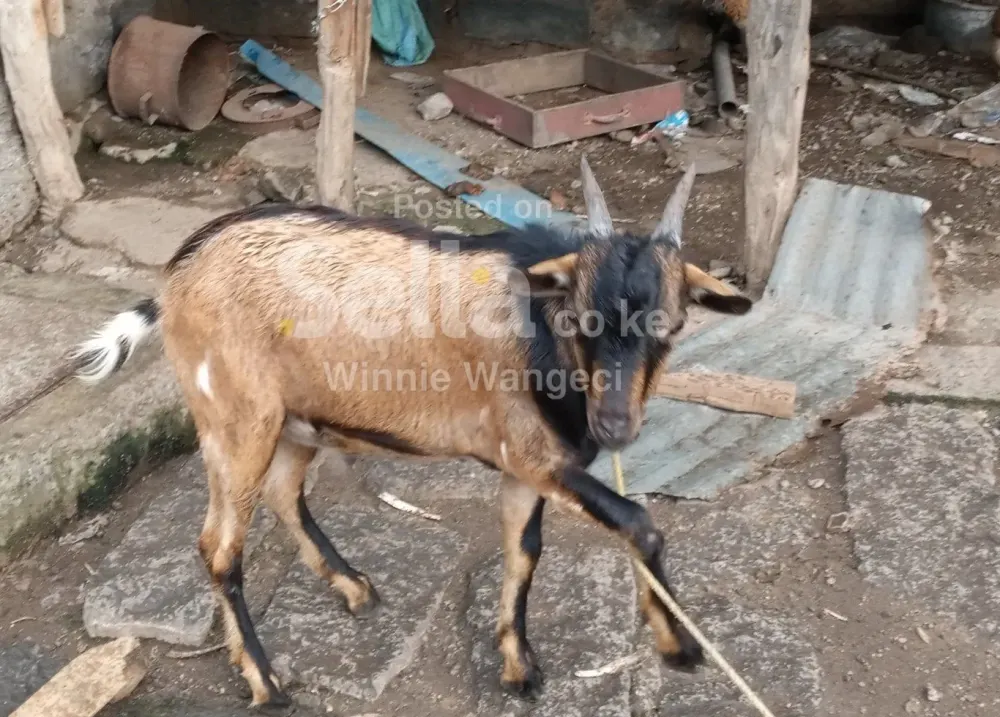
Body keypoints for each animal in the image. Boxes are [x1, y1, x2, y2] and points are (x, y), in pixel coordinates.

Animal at [72, 156, 753, 708]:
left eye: (671, 324)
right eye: (584, 318)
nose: (614, 424)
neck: (541, 332)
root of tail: (178, 273)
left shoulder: (526, 464)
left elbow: (524, 552)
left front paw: (518, 668)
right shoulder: (534, 454)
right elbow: (638, 522)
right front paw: (679, 647)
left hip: (293, 421)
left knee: (283, 493)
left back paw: (352, 587)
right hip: (238, 418)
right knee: (219, 546)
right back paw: (265, 683)